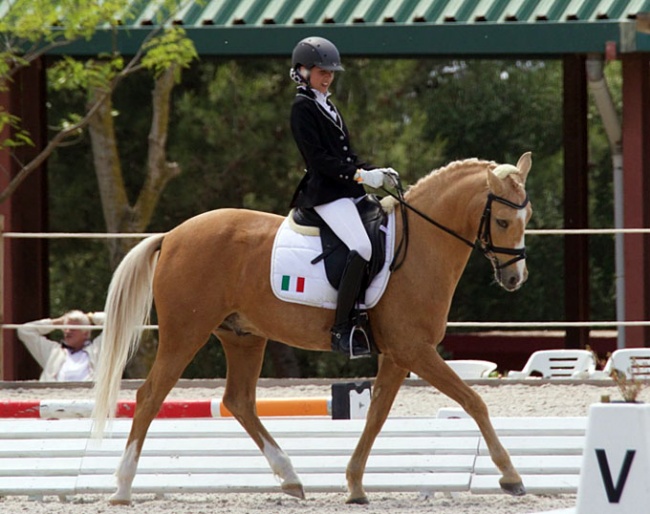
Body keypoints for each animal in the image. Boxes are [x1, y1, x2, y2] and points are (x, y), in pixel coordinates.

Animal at [95, 152, 532, 504]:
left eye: (527, 219)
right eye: (502, 220)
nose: (516, 279)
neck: (420, 247)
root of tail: (171, 236)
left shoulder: (397, 355)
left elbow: (377, 414)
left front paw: (354, 485)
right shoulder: (414, 349)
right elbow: (473, 401)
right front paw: (510, 476)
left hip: (243, 337)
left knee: (239, 400)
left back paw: (290, 478)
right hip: (186, 333)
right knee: (150, 396)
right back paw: (122, 487)